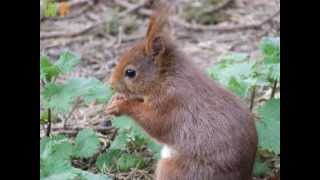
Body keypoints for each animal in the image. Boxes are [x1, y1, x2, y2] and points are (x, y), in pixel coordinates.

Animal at [105, 4, 258, 180]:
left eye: (130, 72)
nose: (111, 84)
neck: (165, 78)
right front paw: (116, 98)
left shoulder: (171, 103)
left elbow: (153, 122)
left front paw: (121, 105)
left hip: (177, 170)